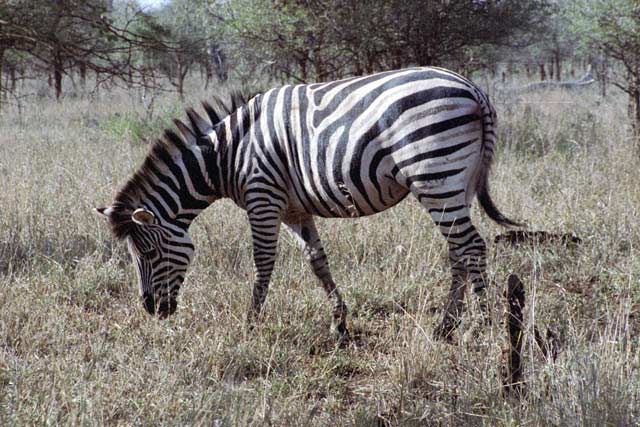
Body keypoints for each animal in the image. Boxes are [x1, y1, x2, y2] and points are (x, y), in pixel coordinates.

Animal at [96, 67, 520, 341]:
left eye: (148, 254)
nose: (152, 310)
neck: (226, 155)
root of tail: (473, 90)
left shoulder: (262, 197)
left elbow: (263, 262)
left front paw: (250, 324)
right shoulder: (293, 210)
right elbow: (318, 263)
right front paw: (340, 325)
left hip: (435, 173)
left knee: (472, 246)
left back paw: (481, 328)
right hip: (456, 183)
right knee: (457, 250)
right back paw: (446, 327)